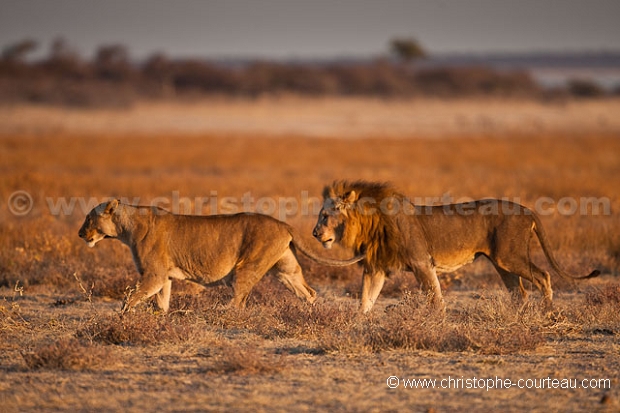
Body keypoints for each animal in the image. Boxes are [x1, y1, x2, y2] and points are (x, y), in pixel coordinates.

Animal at [77, 199, 360, 312]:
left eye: (89, 218)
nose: (80, 234)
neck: (126, 228)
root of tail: (283, 224)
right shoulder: (163, 277)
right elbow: (161, 302)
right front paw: (160, 320)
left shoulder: (153, 274)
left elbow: (131, 297)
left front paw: (122, 318)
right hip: (285, 268)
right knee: (308, 292)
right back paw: (309, 314)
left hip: (246, 267)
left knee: (238, 302)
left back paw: (219, 313)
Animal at [312, 180, 600, 312]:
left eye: (325, 215)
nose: (315, 233)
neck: (370, 223)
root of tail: (528, 210)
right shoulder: (376, 269)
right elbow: (365, 300)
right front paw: (357, 323)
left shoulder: (421, 262)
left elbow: (435, 297)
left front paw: (438, 324)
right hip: (502, 263)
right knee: (519, 292)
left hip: (510, 256)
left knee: (543, 276)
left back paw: (547, 312)